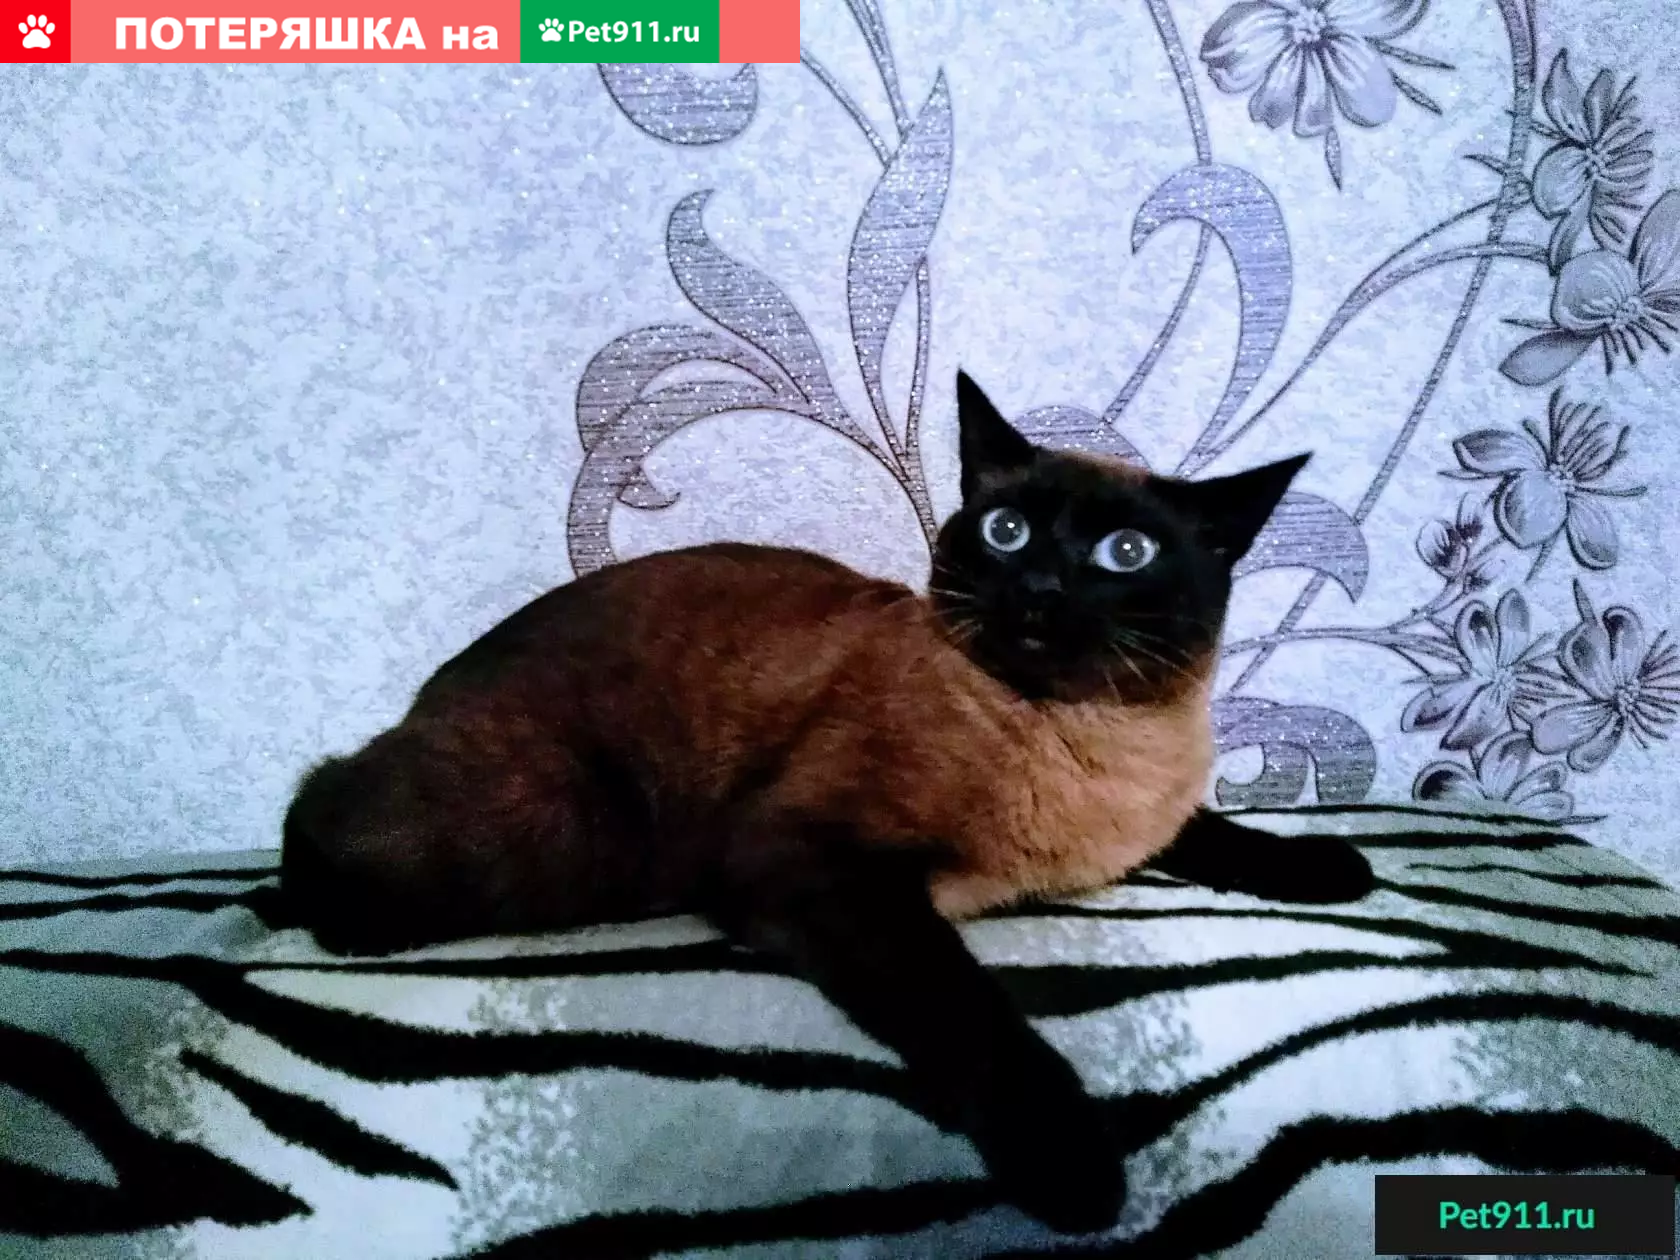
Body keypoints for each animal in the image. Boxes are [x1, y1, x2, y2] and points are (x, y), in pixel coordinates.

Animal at [281, 369, 1373, 1233]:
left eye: (1125, 555)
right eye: (1008, 530)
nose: (1040, 590)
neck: (1088, 741)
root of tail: (430, 692)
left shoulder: (1147, 824)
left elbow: (1218, 832)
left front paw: (1329, 868)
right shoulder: (823, 864)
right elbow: (970, 1010)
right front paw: (1075, 1166)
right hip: (570, 834)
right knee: (316, 815)